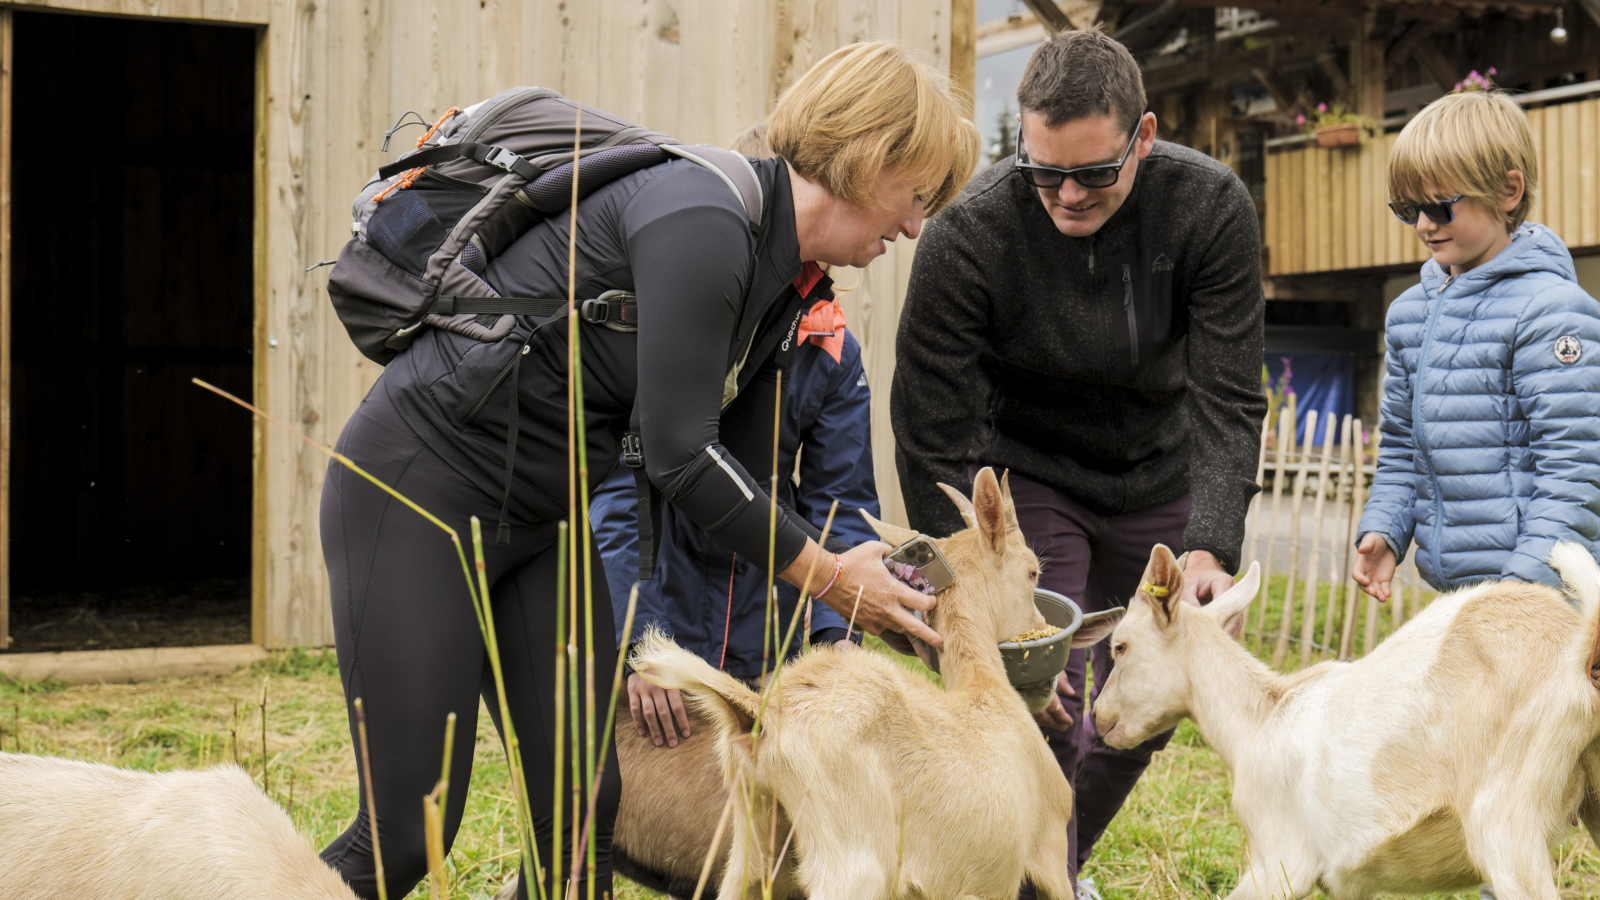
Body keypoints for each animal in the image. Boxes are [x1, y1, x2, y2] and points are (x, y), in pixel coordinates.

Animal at [630, 464, 1120, 896]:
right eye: (1034, 571)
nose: (1042, 629)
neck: (984, 688)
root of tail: (761, 714)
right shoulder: (1046, 848)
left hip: (749, 847)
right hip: (851, 865)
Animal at [1094, 538, 1600, 896]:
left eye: (1120, 646)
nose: (1099, 717)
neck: (1259, 721)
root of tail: (1582, 657)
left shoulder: (1280, 861)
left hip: (1506, 821)